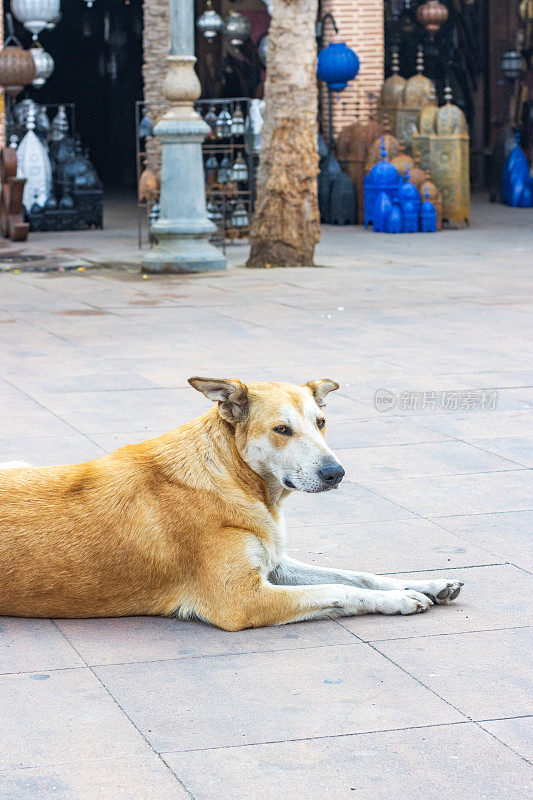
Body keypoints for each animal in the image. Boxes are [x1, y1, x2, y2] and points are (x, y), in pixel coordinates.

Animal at [0, 378, 462, 628]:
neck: (231, 478)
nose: (336, 473)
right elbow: (337, 590)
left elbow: (357, 576)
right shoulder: (242, 600)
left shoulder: (273, 564)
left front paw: (425, 584)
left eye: (321, 423)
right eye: (281, 430)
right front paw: (399, 601)